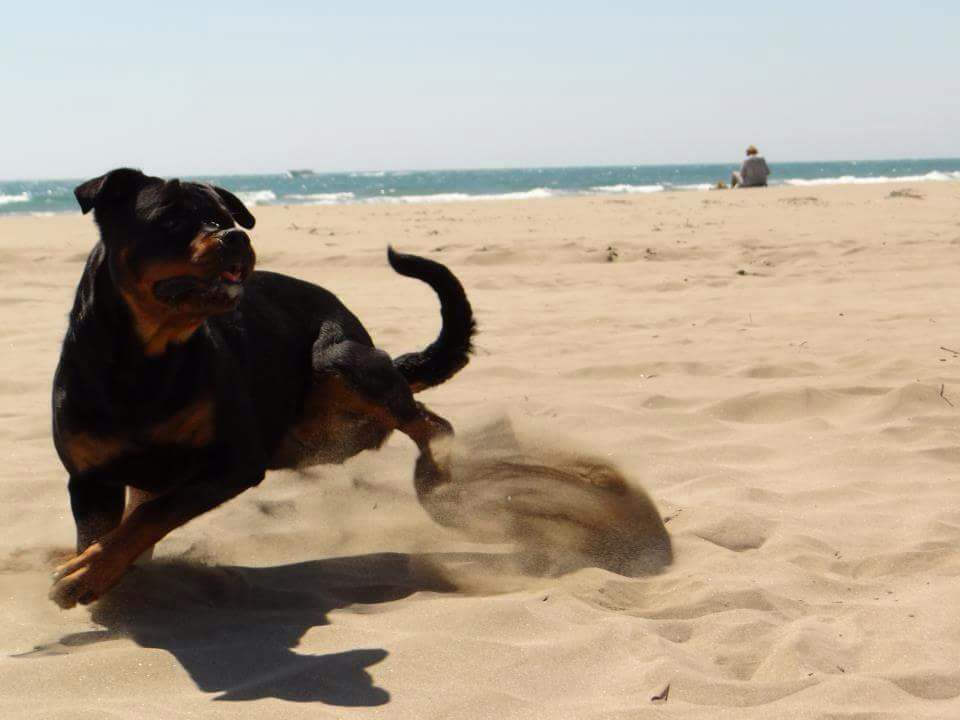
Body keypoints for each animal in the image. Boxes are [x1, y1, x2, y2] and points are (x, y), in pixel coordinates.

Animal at [50, 169, 474, 608]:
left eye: (224, 217)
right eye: (170, 220)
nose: (236, 236)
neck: (145, 362)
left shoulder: (234, 461)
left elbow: (154, 515)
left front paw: (84, 573)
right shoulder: (90, 478)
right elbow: (107, 532)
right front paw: (98, 575)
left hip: (338, 360)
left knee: (427, 421)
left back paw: (436, 482)